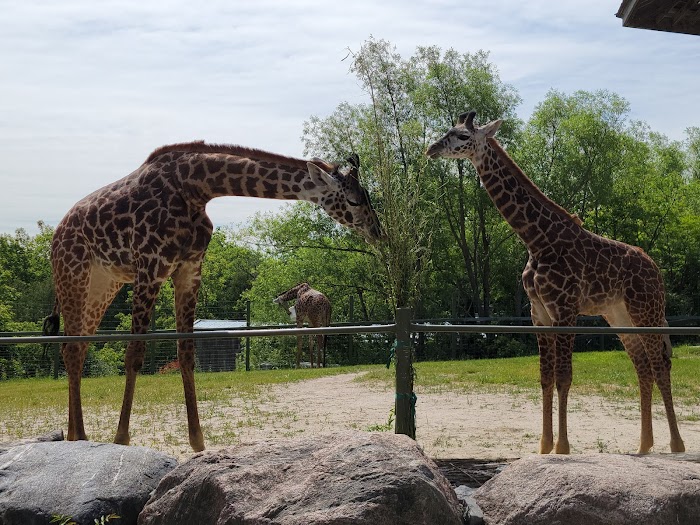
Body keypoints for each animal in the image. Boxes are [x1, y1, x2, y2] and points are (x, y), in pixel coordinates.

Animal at [42, 142, 382, 450]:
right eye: (353, 200)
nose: (377, 231)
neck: (196, 188)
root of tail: (56, 235)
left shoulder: (189, 270)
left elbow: (187, 352)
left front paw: (197, 441)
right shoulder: (151, 266)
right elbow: (135, 354)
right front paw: (121, 438)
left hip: (104, 284)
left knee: (78, 346)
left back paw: (76, 435)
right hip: (74, 275)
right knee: (71, 349)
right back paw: (78, 436)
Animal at [426, 110, 684, 454]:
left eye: (463, 136)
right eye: (448, 131)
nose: (431, 149)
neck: (537, 241)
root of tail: (655, 269)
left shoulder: (564, 308)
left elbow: (564, 376)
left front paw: (562, 446)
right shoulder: (539, 313)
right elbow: (545, 377)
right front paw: (544, 445)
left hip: (647, 310)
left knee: (660, 365)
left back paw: (676, 444)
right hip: (618, 314)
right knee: (642, 367)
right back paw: (643, 445)